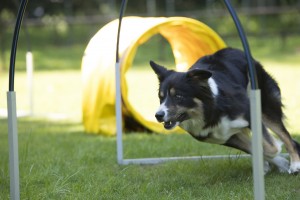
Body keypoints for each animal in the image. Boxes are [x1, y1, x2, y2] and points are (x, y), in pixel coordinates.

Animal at [150, 47, 300, 174]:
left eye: (179, 96)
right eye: (161, 97)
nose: (158, 115)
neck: (212, 110)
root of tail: (235, 50)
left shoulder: (248, 113)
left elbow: (270, 148)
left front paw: (280, 158)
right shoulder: (224, 136)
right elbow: (257, 148)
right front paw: (278, 163)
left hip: (265, 105)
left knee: (287, 137)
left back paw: (295, 165)